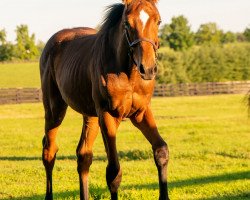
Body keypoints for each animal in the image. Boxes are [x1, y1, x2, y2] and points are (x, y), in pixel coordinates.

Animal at [40, 0, 169, 200]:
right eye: (127, 24)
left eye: (159, 21)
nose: (147, 68)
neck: (128, 74)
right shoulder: (108, 115)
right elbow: (114, 171)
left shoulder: (140, 113)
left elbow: (161, 150)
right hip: (55, 109)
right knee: (49, 151)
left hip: (91, 115)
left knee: (83, 155)